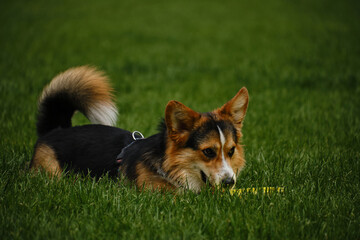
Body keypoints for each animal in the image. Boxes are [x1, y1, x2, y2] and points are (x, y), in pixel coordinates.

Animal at [29, 64, 249, 192]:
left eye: (231, 151)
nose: (229, 183)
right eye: (208, 151)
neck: (171, 167)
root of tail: (56, 129)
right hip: (50, 171)